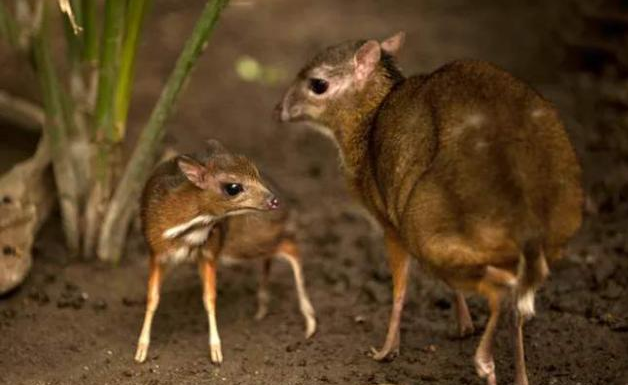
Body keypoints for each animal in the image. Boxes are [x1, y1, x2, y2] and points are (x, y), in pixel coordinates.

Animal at [136, 140, 316, 364]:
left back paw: (309, 321)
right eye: (233, 188)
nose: (274, 200)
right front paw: (141, 350)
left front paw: (216, 351)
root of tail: (288, 210)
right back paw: (263, 307)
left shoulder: (210, 252)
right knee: (280, 252)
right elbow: (152, 298)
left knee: (291, 249)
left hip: (244, 243)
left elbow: (209, 298)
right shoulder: (157, 253)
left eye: (256, 172)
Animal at [278, 32, 580, 384]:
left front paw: (386, 350)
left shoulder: (390, 225)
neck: (369, 122)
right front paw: (463, 325)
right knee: (516, 302)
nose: (279, 109)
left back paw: (484, 363)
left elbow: (400, 289)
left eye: (318, 84)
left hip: (424, 228)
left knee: (501, 290)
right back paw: (518, 376)